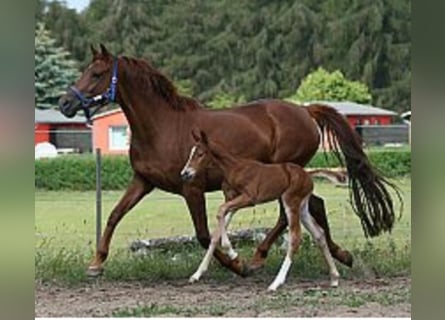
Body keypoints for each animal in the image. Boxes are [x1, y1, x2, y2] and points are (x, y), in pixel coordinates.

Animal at [179, 129, 338, 290]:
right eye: (191, 153)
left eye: (200, 154)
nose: (185, 174)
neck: (234, 168)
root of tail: (308, 175)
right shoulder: (232, 200)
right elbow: (217, 230)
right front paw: (196, 275)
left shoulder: (249, 198)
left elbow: (220, 211)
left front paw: (232, 253)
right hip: (303, 207)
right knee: (319, 234)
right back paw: (334, 278)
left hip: (290, 202)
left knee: (295, 237)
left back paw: (276, 283)